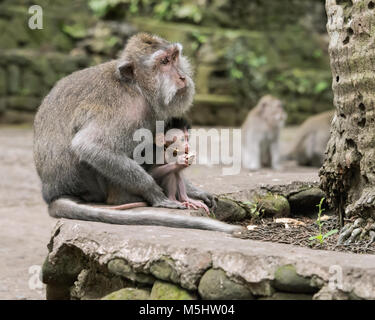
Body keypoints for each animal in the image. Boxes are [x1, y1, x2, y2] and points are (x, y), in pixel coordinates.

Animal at [35, 33, 241, 232]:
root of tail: (53, 193)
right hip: (95, 187)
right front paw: (155, 193)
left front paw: (195, 191)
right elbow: (88, 145)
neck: (137, 88)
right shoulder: (127, 110)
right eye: (164, 62)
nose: (182, 77)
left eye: (174, 57)